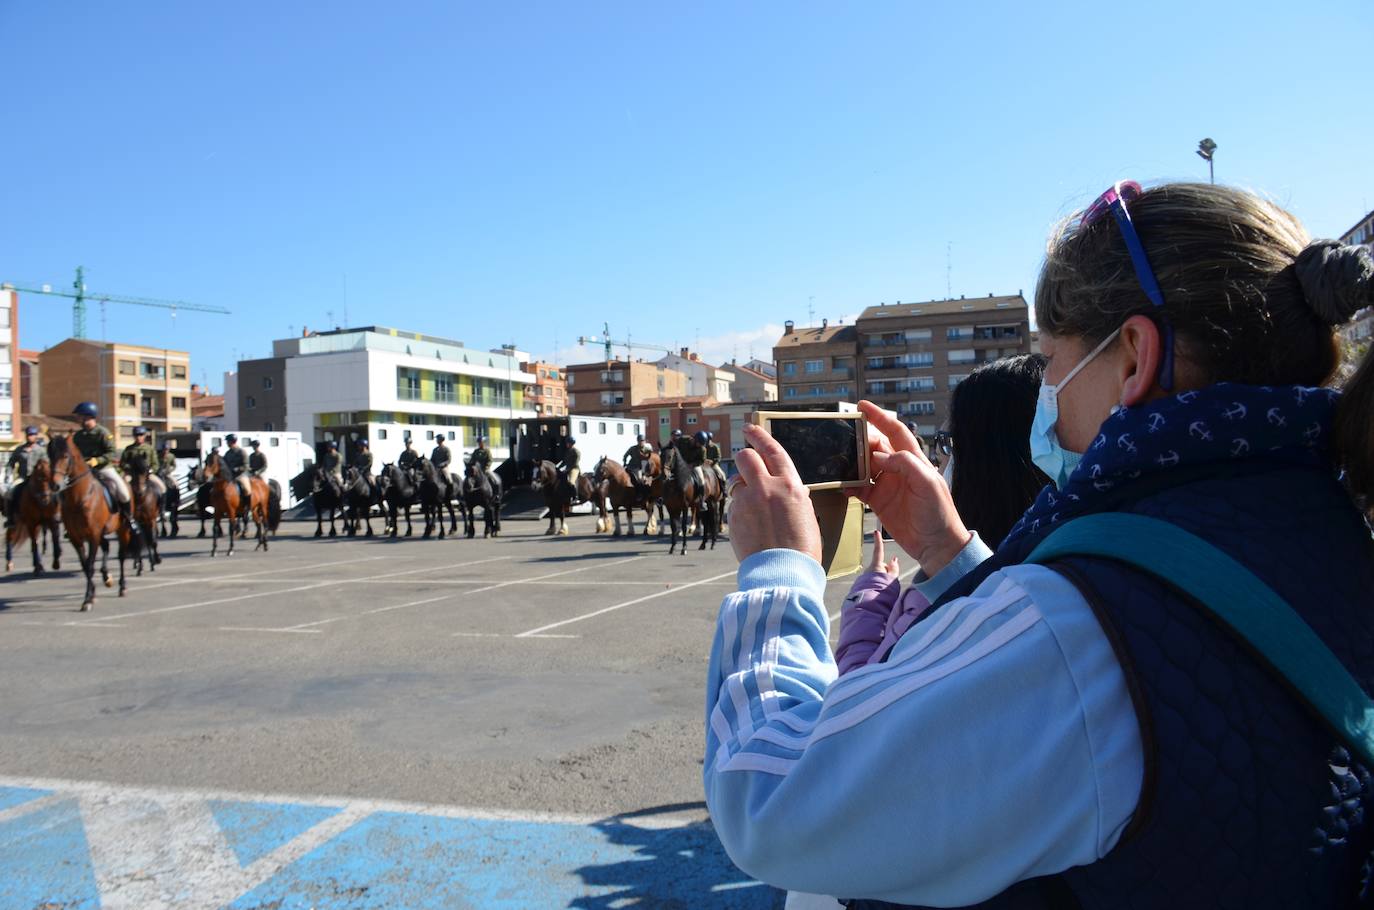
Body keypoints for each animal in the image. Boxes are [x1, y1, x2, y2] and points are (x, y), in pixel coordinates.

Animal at [46, 437, 133, 613]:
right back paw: (107, 577)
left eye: (65, 456)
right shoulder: (76, 538)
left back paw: (122, 587)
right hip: (101, 533)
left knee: (121, 556)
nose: (54, 485)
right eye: (50, 456)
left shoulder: (93, 536)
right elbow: (86, 566)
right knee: (106, 546)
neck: (79, 497)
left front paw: (87, 600)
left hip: (123, 529)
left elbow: (91, 565)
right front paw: (91, 596)